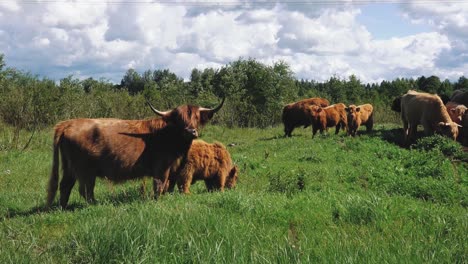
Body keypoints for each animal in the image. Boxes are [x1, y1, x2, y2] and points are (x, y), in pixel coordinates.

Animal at [45, 98, 225, 207]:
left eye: (196, 118)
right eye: (179, 119)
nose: (191, 131)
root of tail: (67, 123)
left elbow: (168, 185)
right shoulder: (161, 168)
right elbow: (160, 186)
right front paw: (157, 201)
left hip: (69, 167)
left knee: (65, 185)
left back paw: (63, 207)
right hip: (85, 169)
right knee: (86, 190)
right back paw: (95, 204)